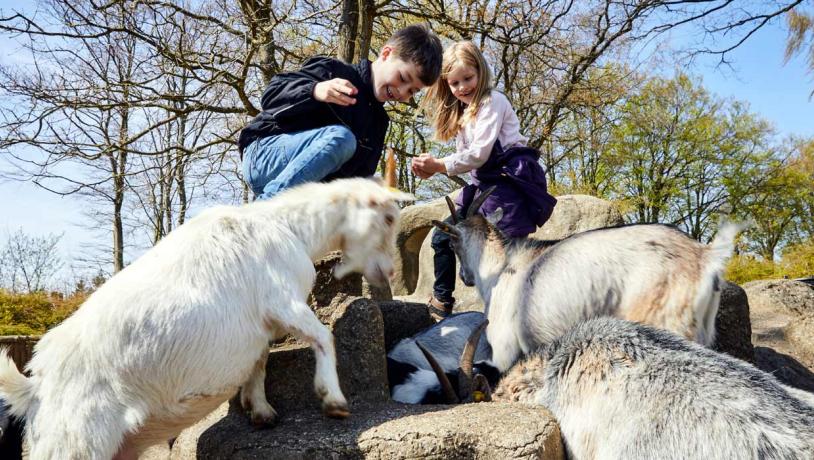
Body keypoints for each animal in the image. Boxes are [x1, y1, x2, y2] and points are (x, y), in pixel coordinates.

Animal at [0, 179, 414, 460]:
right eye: (388, 217)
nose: (391, 272)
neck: (290, 227)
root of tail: (34, 388)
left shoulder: (259, 324)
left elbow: (259, 361)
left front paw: (260, 410)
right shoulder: (282, 299)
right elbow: (323, 337)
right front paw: (334, 400)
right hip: (77, 442)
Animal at [434, 189, 744, 372]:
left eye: (453, 243)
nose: (465, 278)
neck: (501, 267)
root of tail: (704, 256)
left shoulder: (503, 348)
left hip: (668, 323)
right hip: (701, 330)